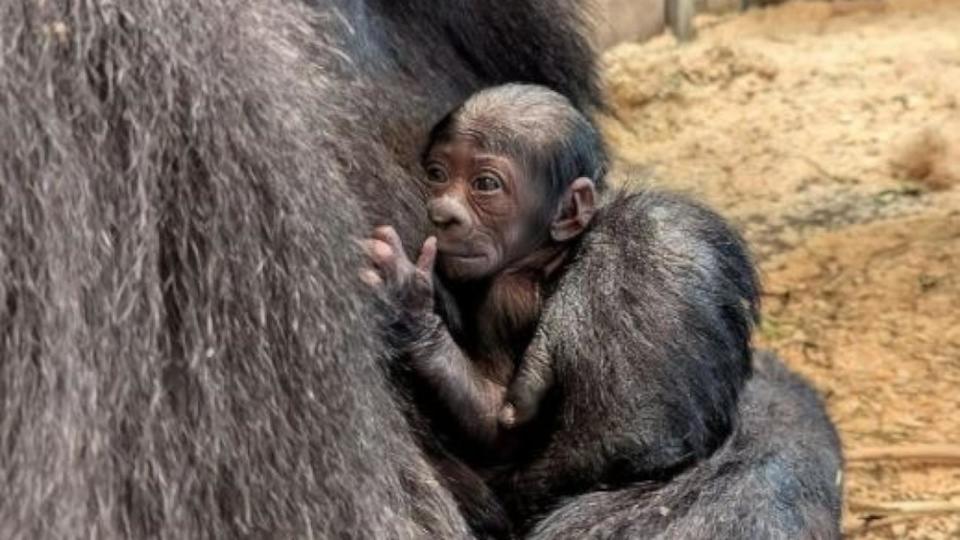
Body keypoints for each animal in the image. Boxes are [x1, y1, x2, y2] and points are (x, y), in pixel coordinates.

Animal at [360, 83, 600, 456]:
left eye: (486, 184)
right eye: (437, 175)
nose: (444, 214)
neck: (545, 253)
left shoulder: (505, 299)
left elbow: (501, 423)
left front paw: (407, 305)